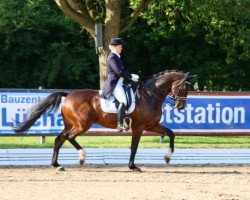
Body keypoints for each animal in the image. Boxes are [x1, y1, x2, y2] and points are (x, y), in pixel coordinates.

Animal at [14, 69, 190, 171]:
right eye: (184, 87)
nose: (181, 107)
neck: (150, 95)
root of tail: (68, 95)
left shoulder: (152, 125)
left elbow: (171, 133)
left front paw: (168, 157)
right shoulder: (139, 128)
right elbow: (134, 147)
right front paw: (132, 166)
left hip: (71, 124)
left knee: (60, 139)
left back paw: (57, 165)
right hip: (82, 125)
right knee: (68, 137)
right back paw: (81, 156)